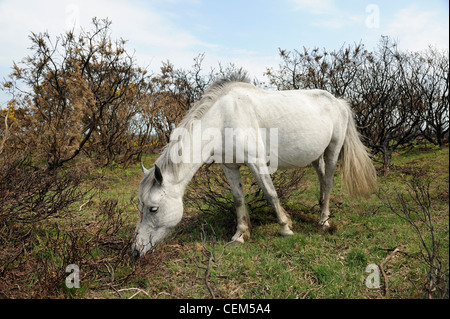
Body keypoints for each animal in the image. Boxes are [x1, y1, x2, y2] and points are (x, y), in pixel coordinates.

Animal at [130, 73, 376, 258]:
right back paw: (320, 210)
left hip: (333, 150)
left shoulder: (257, 163)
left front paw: (285, 227)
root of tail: (338, 102)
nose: (135, 251)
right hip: (316, 155)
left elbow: (270, 193)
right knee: (322, 178)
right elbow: (238, 199)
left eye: (153, 208)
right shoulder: (229, 167)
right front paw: (240, 234)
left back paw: (324, 220)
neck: (225, 118)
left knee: (329, 180)